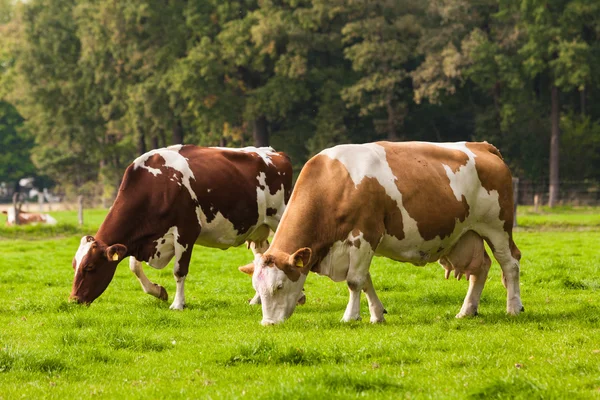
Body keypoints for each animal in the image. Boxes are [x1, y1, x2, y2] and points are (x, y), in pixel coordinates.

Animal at [70, 145, 292, 310]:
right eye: (74, 265)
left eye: (90, 267)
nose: (73, 300)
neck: (157, 186)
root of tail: (275, 152)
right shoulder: (144, 238)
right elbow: (134, 266)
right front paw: (158, 291)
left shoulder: (186, 232)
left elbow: (179, 270)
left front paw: (178, 304)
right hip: (258, 230)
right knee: (263, 257)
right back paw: (257, 300)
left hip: (280, 217)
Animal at [241, 141, 524, 324]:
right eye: (257, 288)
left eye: (279, 286)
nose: (268, 323)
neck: (335, 183)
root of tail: (482, 146)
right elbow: (365, 281)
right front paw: (377, 315)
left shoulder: (364, 235)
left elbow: (354, 281)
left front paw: (350, 316)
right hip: (467, 235)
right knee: (481, 268)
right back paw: (467, 310)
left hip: (497, 228)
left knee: (510, 264)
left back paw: (513, 307)